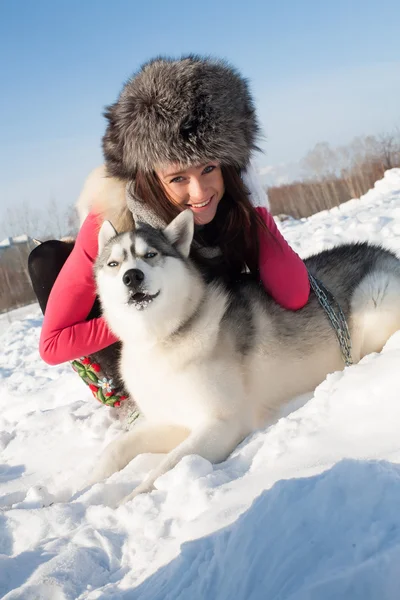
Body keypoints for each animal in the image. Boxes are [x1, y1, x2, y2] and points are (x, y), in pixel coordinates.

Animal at [90, 211, 400, 502]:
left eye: (150, 255)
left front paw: (130, 498)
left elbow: (168, 465)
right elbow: (115, 448)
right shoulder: (171, 421)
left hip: (372, 297)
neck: (160, 340)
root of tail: (386, 253)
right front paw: (78, 487)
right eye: (113, 264)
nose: (132, 276)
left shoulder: (223, 423)